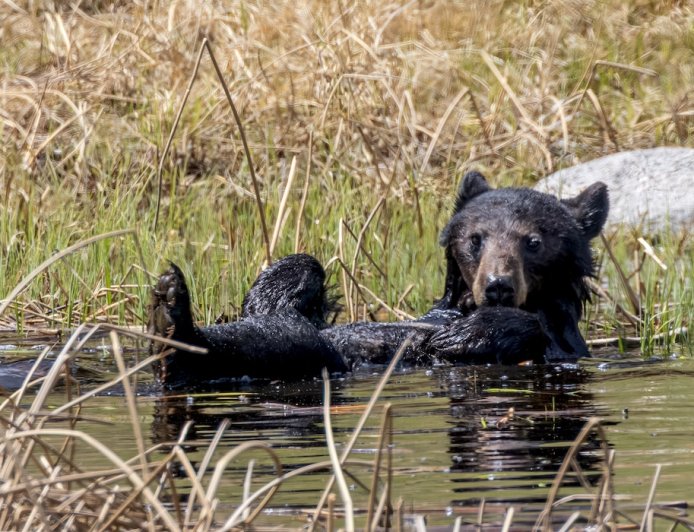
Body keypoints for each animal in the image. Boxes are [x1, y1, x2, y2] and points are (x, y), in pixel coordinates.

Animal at [148, 172, 608, 388]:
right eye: (475, 239)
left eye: (533, 241)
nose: (497, 285)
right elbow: (285, 289)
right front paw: (291, 277)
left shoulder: (560, 341)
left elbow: (534, 333)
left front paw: (457, 337)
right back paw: (170, 316)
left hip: (316, 361)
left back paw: (174, 328)